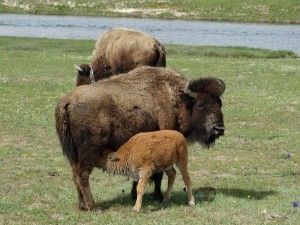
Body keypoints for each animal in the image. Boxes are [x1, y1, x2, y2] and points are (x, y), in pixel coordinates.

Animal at [55, 65, 225, 211]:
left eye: (219, 103)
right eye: (201, 105)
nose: (219, 129)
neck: (177, 99)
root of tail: (67, 101)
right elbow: (158, 175)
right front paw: (157, 196)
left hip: (73, 154)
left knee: (75, 174)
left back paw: (81, 205)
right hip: (89, 151)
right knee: (83, 175)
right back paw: (93, 207)